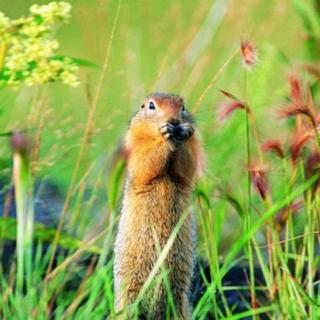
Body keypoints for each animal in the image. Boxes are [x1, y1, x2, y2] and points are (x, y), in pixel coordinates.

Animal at [113, 92, 202, 318]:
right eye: (151, 106)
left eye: (183, 106)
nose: (174, 121)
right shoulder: (134, 140)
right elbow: (144, 161)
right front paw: (164, 135)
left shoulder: (194, 146)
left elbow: (187, 166)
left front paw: (185, 131)